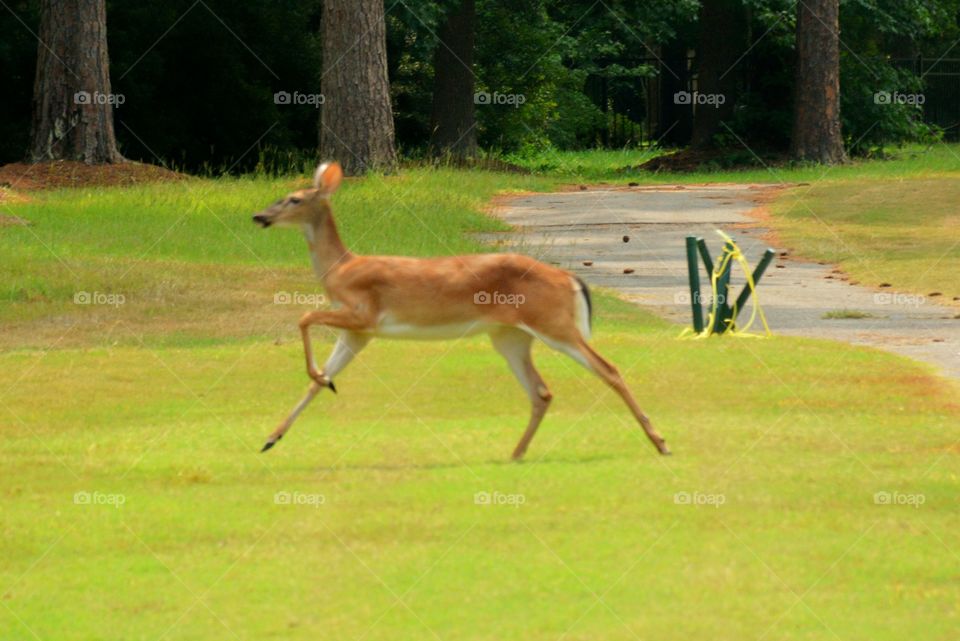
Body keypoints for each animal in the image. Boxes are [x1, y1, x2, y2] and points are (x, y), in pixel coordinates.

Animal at [252, 162, 670, 459]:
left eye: (293, 198)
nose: (259, 216)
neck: (340, 269)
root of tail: (571, 278)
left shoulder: (364, 313)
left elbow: (304, 317)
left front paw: (318, 382)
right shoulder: (358, 333)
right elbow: (316, 378)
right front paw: (272, 437)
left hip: (552, 322)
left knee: (608, 369)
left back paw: (661, 442)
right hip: (509, 336)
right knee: (542, 391)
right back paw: (516, 452)